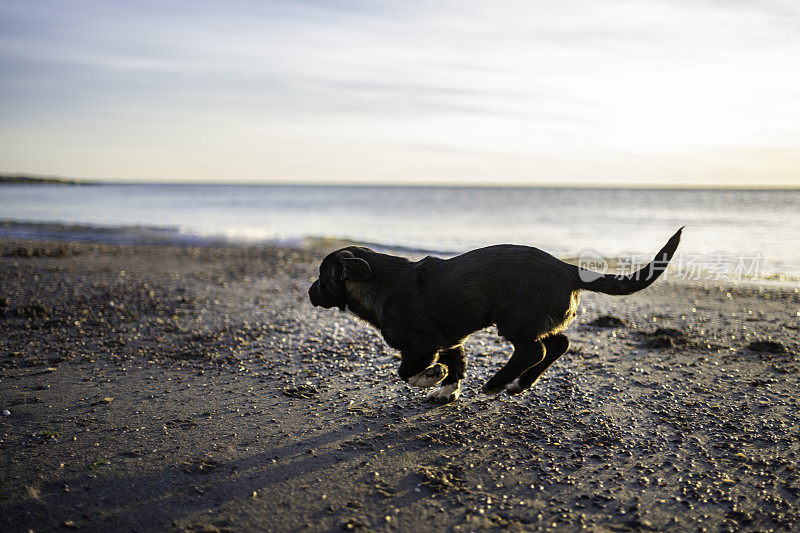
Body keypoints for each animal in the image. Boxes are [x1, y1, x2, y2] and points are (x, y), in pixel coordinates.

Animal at [306, 227, 680, 402]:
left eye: (322, 277)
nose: (309, 293)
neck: (380, 282)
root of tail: (567, 268)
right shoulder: (451, 338)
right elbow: (457, 364)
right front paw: (447, 391)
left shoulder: (423, 344)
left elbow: (407, 371)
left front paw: (432, 377)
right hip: (532, 319)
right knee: (558, 344)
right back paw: (520, 383)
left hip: (514, 318)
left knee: (535, 350)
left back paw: (498, 382)